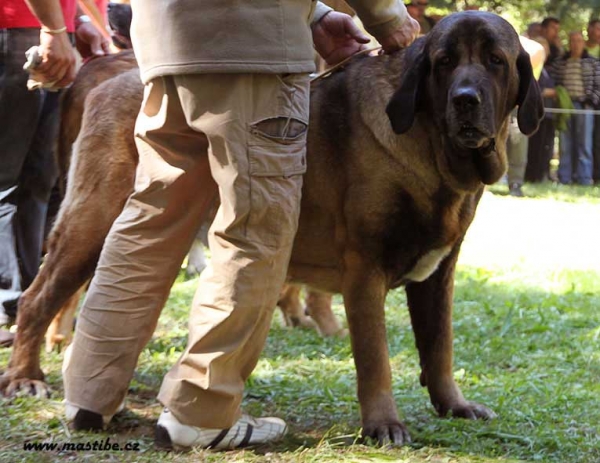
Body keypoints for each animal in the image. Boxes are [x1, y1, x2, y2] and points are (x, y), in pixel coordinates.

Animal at [1, 10, 544, 446]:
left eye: (495, 60)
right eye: (444, 62)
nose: (466, 99)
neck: (433, 147)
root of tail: (103, 76)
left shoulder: (438, 272)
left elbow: (438, 345)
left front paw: (453, 404)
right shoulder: (364, 270)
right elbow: (376, 358)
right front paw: (384, 423)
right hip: (91, 224)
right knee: (38, 297)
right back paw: (27, 376)